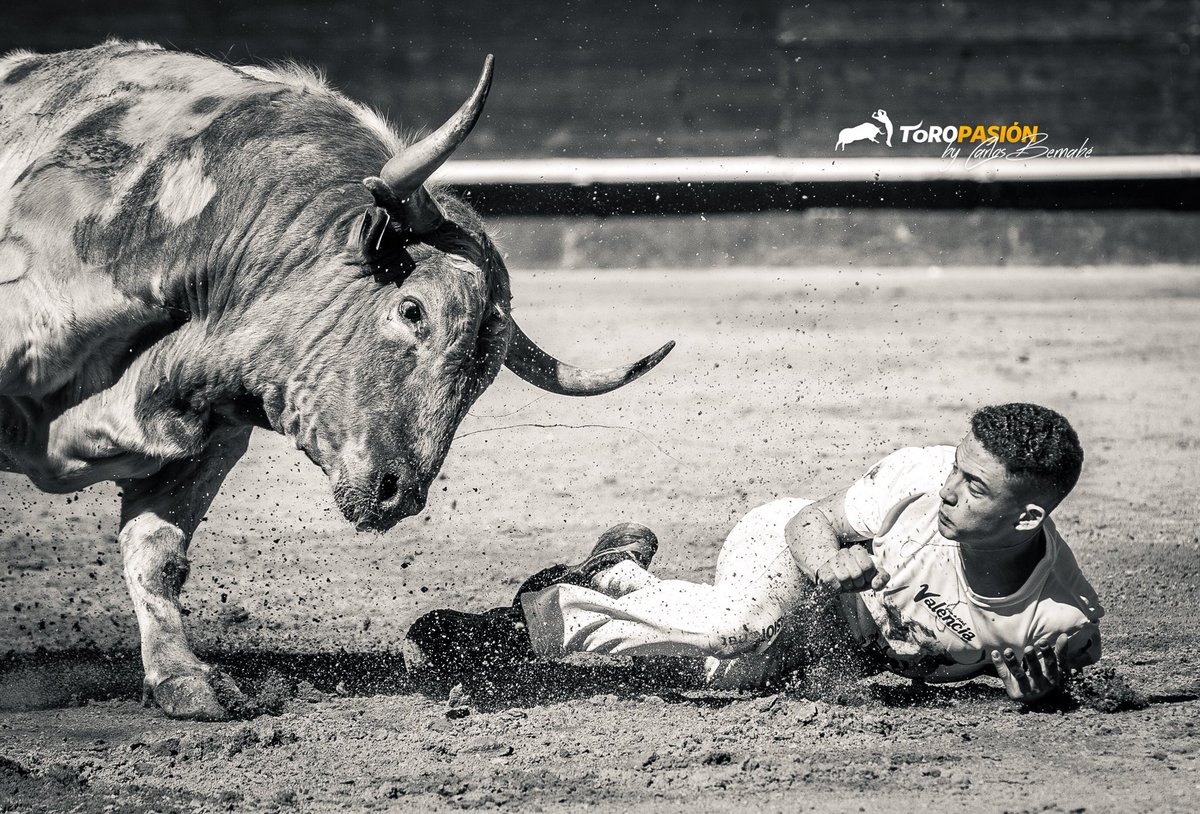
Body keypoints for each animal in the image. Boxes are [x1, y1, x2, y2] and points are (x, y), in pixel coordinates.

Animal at [0, 41, 673, 720]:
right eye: (413, 309)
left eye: (481, 379)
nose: (398, 494)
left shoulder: (210, 442)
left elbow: (157, 553)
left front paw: (184, 680)